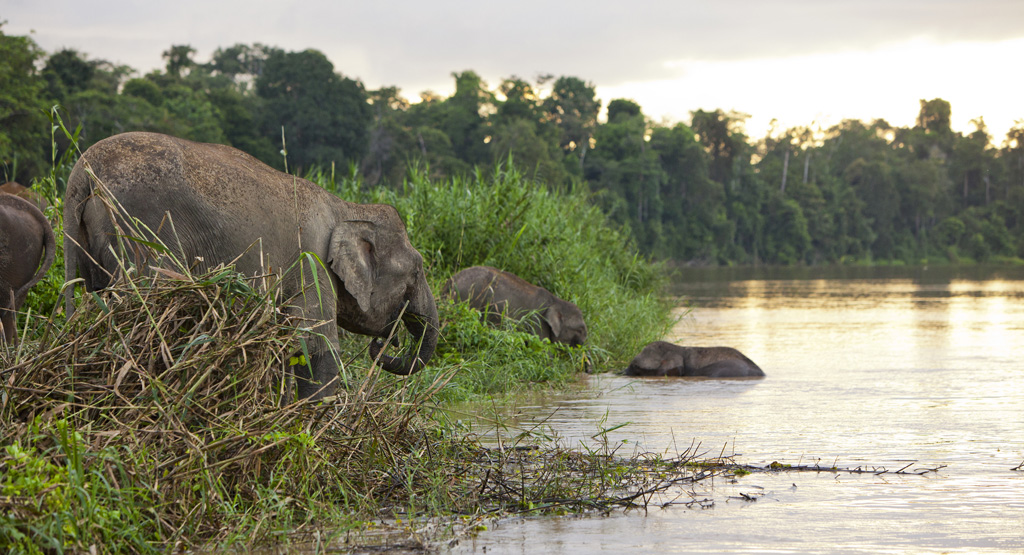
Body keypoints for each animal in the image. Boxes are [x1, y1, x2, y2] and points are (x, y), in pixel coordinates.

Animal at [63, 131, 438, 399]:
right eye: (417, 271)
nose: (387, 342)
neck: (347, 208)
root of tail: (81, 173)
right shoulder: (311, 261)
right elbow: (316, 344)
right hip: (142, 232)